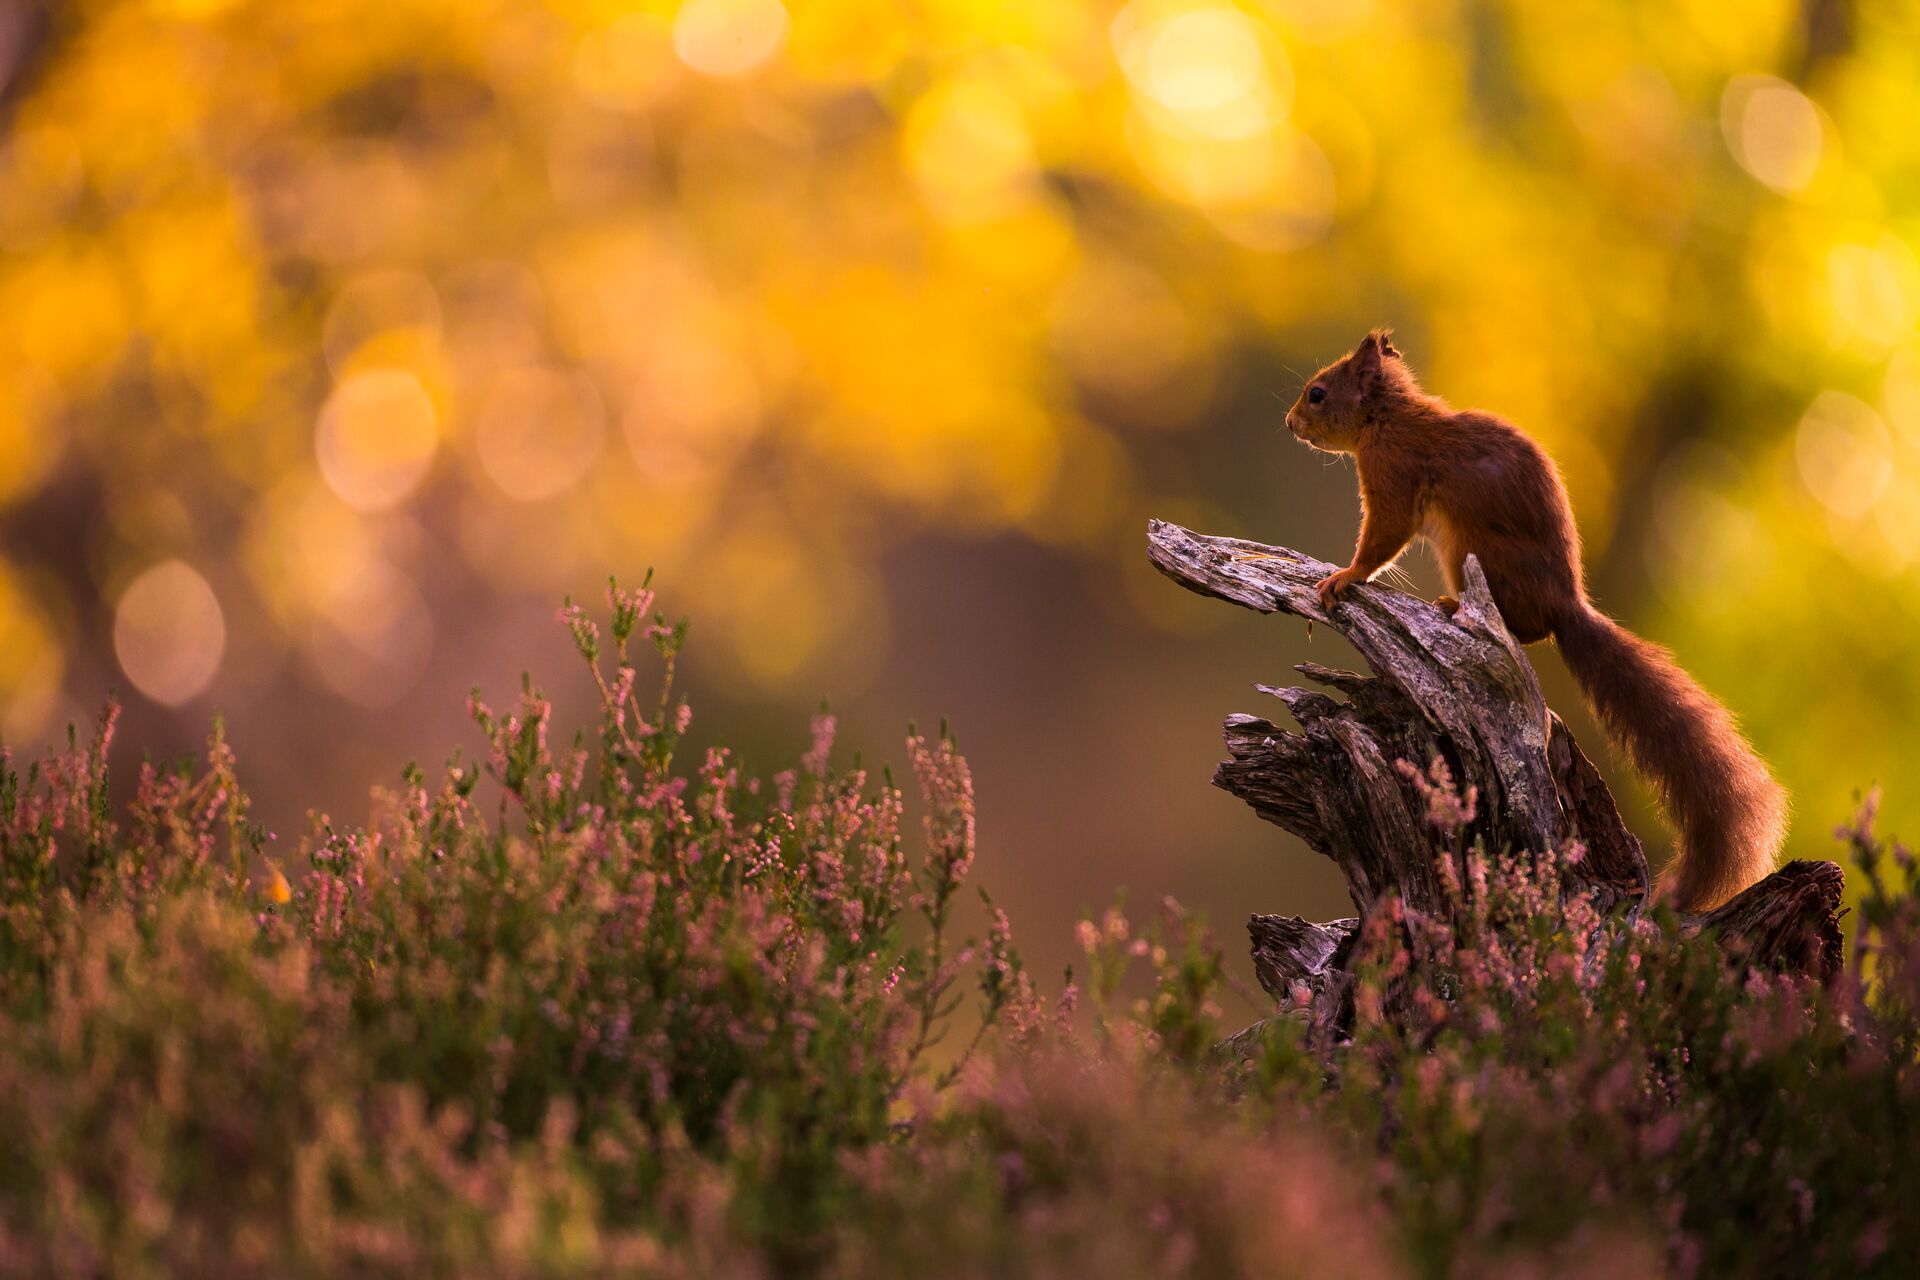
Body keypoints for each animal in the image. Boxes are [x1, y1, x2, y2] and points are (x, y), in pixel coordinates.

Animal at [1284, 329, 1787, 911]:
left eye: (1318, 394)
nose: (1289, 423)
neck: (1386, 419)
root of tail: (1564, 604)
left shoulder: (1394, 476)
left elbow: (1382, 539)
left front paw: (1345, 576)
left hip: (1471, 549)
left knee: (1525, 628)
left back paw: (1453, 607)